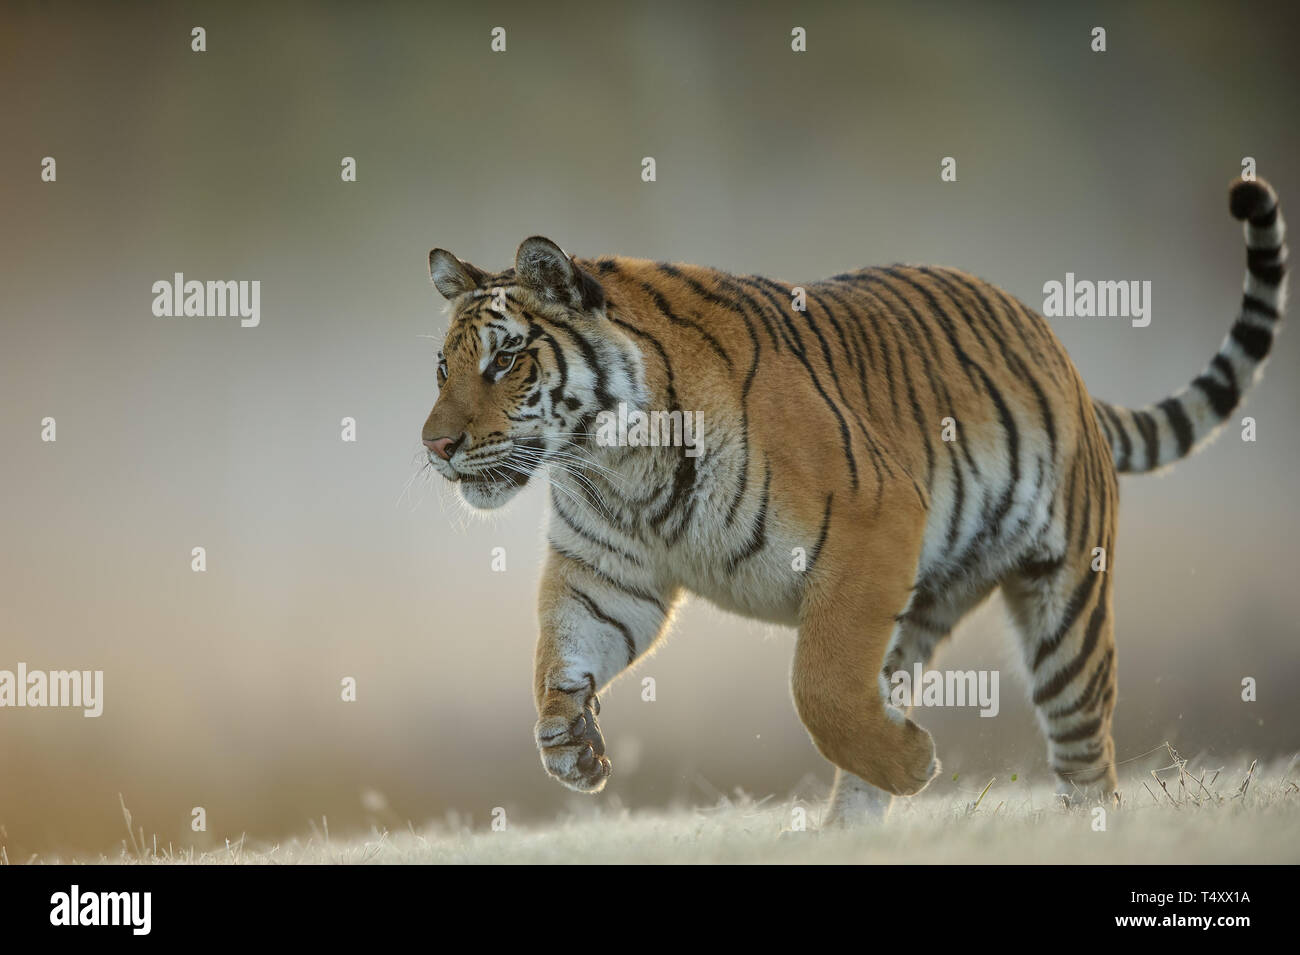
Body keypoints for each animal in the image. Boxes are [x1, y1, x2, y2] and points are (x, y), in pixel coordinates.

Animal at [421, 180, 1284, 831]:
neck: (615, 456)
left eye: (504, 360)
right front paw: (569, 744)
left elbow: (820, 685)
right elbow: (558, 653)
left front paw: (917, 760)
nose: (435, 445)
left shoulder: (871, 521)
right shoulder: (605, 574)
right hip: (921, 604)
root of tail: (1055, 344)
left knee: (1083, 752)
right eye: (441, 366)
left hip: (1062, 595)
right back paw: (848, 832)